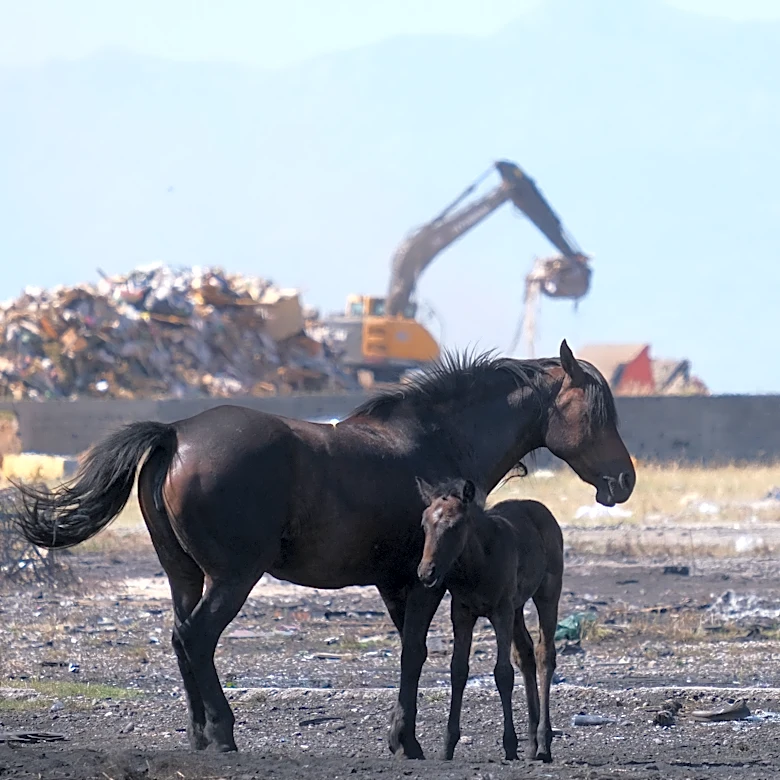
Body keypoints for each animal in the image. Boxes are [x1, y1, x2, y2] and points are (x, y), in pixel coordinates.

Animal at [415, 476, 563, 763]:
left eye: (455, 525)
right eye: (424, 525)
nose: (426, 572)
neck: (476, 565)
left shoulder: (501, 610)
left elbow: (502, 673)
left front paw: (510, 745)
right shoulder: (461, 612)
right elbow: (458, 670)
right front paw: (447, 746)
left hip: (548, 592)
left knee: (544, 655)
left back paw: (544, 741)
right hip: (517, 607)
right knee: (526, 654)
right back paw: (532, 744)